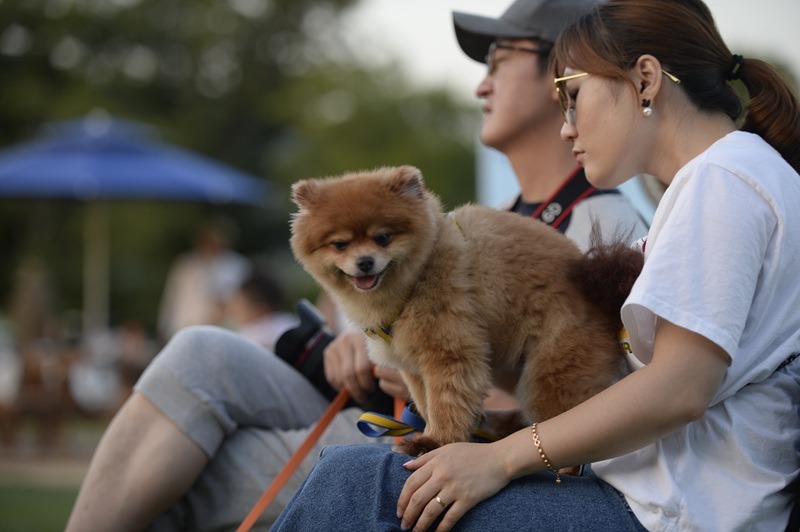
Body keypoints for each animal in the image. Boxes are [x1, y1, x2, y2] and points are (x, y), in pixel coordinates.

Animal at [290, 164, 640, 456]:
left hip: (551, 370)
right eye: (340, 244)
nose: (364, 262)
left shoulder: (448, 349)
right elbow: (426, 403)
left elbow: (446, 402)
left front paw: (436, 442)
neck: (417, 275)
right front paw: (426, 435)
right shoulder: (412, 364)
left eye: (383, 237)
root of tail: (601, 290)